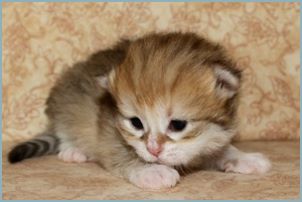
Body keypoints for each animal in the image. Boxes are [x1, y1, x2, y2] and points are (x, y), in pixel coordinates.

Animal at [8, 32, 270, 189]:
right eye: (136, 123)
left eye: (178, 124)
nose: (153, 150)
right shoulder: (108, 130)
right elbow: (120, 153)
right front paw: (150, 170)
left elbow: (220, 149)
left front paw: (242, 157)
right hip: (65, 103)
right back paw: (74, 150)